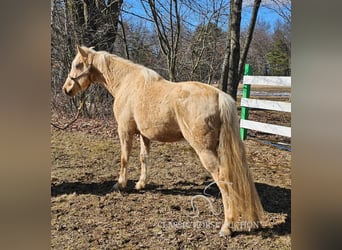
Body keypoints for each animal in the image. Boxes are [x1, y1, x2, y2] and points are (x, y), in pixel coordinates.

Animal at [62, 45, 264, 236]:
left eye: (77, 65)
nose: (66, 89)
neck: (126, 83)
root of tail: (219, 95)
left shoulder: (125, 131)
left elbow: (124, 158)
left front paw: (120, 184)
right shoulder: (144, 135)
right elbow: (143, 158)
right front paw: (140, 184)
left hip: (205, 150)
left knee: (223, 179)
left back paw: (227, 226)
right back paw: (253, 221)